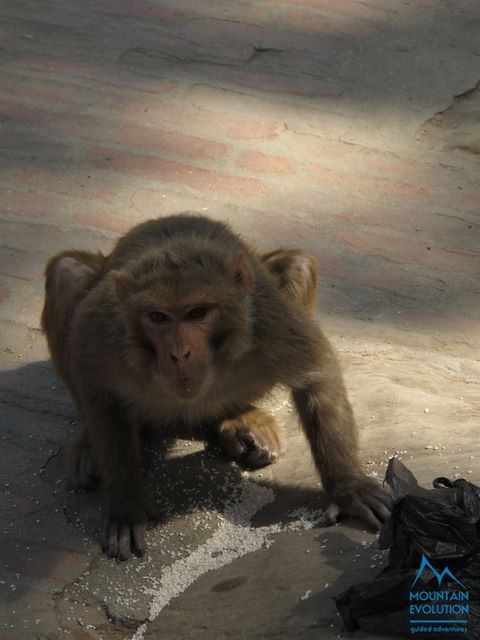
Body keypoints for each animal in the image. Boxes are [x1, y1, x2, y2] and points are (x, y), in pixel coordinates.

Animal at [42, 214, 390, 560]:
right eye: (158, 317)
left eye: (198, 313)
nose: (179, 353)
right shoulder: (102, 329)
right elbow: (98, 392)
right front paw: (126, 506)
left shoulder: (268, 319)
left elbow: (317, 376)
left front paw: (348, 487)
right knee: (65, 271)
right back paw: (95, 443)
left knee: (298, 264)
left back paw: (240, 418)